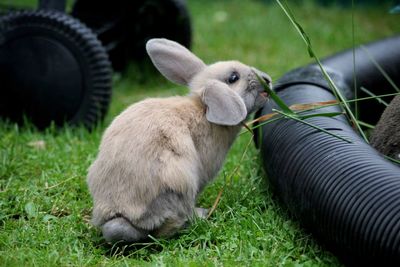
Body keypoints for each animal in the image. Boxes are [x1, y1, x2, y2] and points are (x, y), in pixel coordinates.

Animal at [86, 38, 270, 245]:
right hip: (180, 181)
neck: (204, 110)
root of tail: (119, 212)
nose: (267, 80)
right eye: (233, 77)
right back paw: (199, 215)